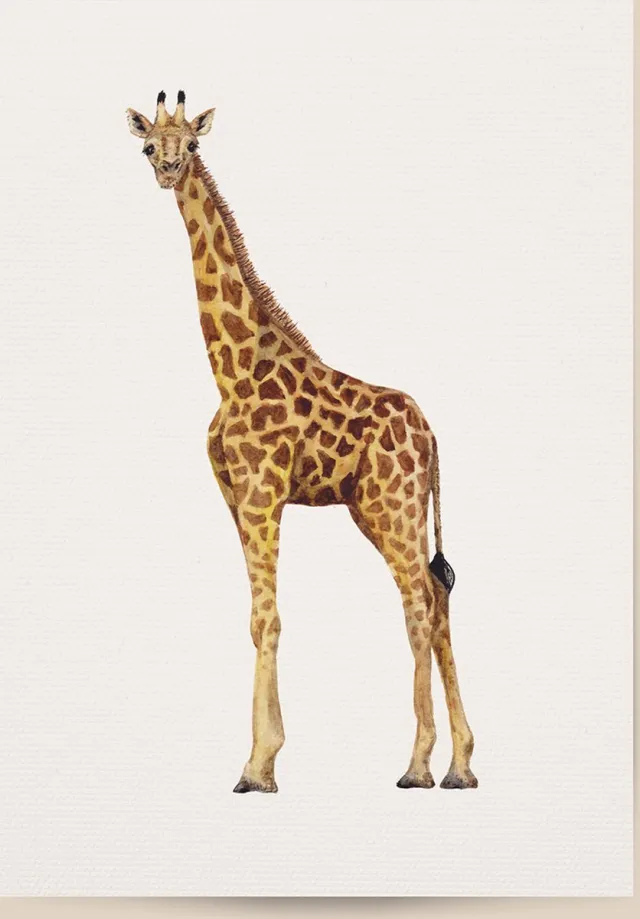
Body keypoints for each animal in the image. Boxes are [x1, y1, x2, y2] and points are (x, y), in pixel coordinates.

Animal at [127, 91, 477, 794]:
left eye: (193, 145)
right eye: (149, 145)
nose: (169, 170)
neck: (232, 368)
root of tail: (431, 436)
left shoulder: (264, 490)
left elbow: (269, 617)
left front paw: (257, 766)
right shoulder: (236, 497)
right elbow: (256, 617)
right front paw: (263, 758)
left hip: (392, 507)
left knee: (419, 603)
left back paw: (419, 765)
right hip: (389, 510)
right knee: (438, 597)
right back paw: (461, 767)